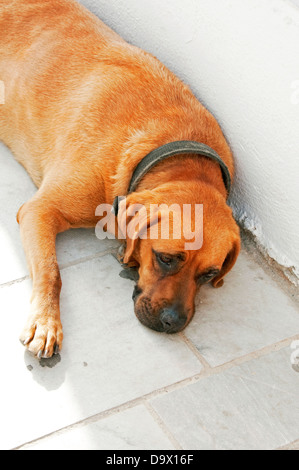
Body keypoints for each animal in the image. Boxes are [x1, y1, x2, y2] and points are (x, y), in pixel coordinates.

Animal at [0, 0, 241, 358]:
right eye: (166, 259)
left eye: (210, 274)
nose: (173, 323)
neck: (172, 149)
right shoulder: (39, 211)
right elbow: (51, 272)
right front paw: (46, 320)